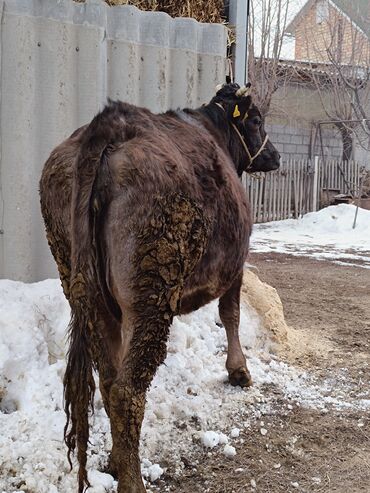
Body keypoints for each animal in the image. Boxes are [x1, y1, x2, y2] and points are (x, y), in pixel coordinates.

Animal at [39, 82, 278, 490]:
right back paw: (132, 480)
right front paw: (239, 371)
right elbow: (230, 313)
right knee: (127, 392)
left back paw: (117, 462)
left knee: (110, 381)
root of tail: (108, 125)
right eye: (257, 119)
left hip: (84, 289)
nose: (275, 155)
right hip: (150, 291)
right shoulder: (237, 261)